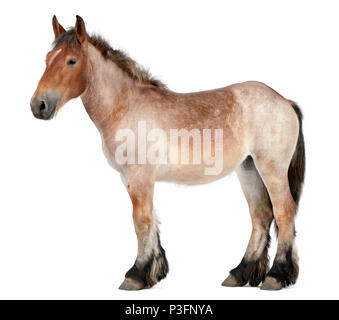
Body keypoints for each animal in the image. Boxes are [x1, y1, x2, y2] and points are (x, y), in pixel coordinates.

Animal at [31, 16, 306, 292]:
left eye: (71, 61)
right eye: (47, 59)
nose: (38, 106)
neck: (127, 105)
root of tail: (284, 101)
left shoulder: (140, 176)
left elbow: (141, 220)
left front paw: (136, 275)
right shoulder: (130, 178)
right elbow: (151, 220)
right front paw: (153, 272)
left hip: (271, 170)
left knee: (284, 212)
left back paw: (275, 276)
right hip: (248, 169)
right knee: (261, 216)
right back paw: (239, 274)